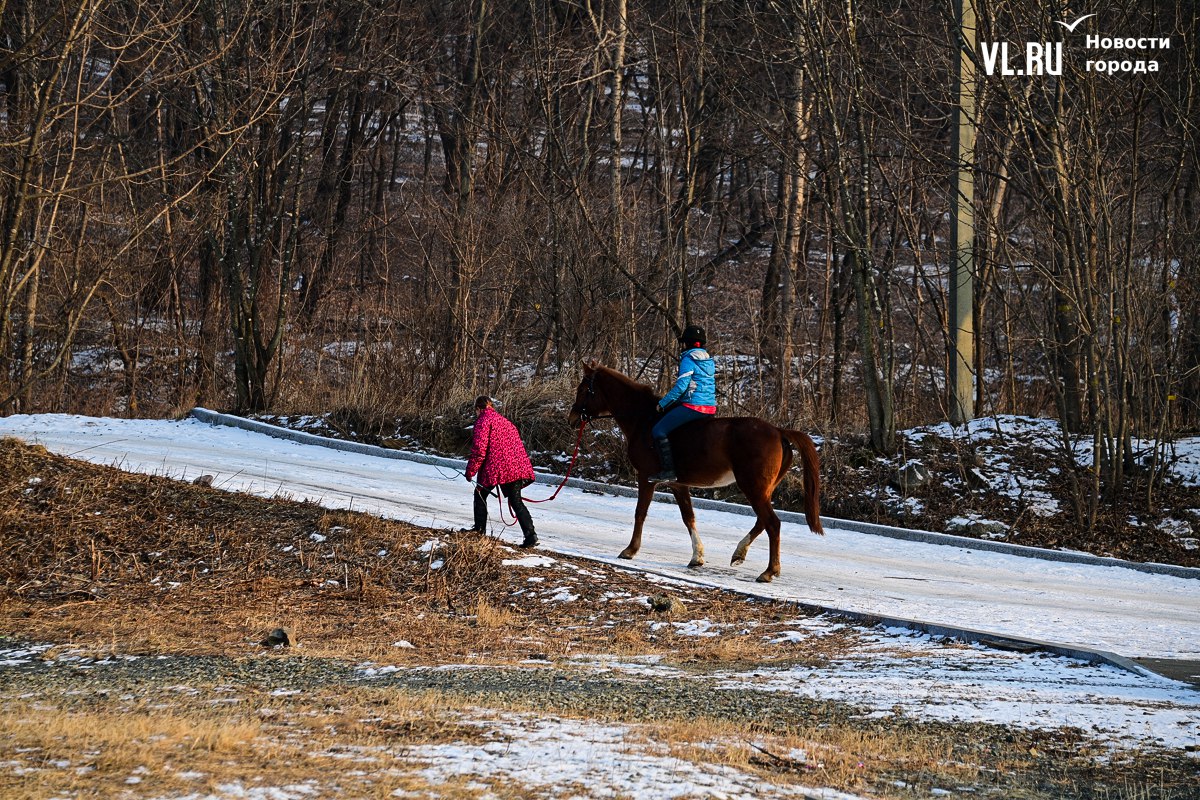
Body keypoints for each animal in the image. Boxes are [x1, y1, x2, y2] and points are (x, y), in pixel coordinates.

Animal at [566, 362, 820, 582]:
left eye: (583, 389)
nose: (572, 418)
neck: (644, 419)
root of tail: (778, 431)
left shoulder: (646, 478)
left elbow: (640, 513)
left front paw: (630, 550)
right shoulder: (679, 485)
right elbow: (688, 517)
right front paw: (697, 556)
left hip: (753, 487)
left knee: (773, 524)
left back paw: (769, 571)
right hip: (763, 489)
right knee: (762, 521)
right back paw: (740, 554)